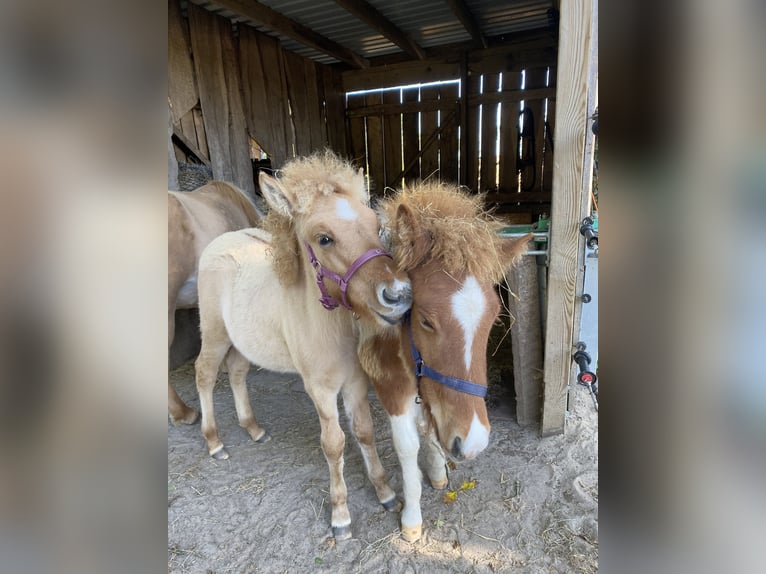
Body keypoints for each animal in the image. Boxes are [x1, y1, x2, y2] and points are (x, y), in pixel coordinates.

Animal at [192, 152, 414, 540]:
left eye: (376, 225)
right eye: (324, 238)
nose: (398, 295)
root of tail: (220, 243)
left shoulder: (355, 382)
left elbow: (365, 432)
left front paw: (385, 492)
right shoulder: (320, 389)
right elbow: (334, 443)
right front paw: (340, 516)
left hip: (242, 342)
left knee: (236, 372)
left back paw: (253, 428)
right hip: (215, 334)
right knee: (204, 373)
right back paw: (214, 441)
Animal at [360, 181, 536, 544]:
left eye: (494, 317)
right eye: (426, 321)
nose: (473, 442)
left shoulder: (428, 390)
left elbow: (431, 427)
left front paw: (437, 470)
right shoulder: (391, 385)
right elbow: (407, 446)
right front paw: (412, 518)